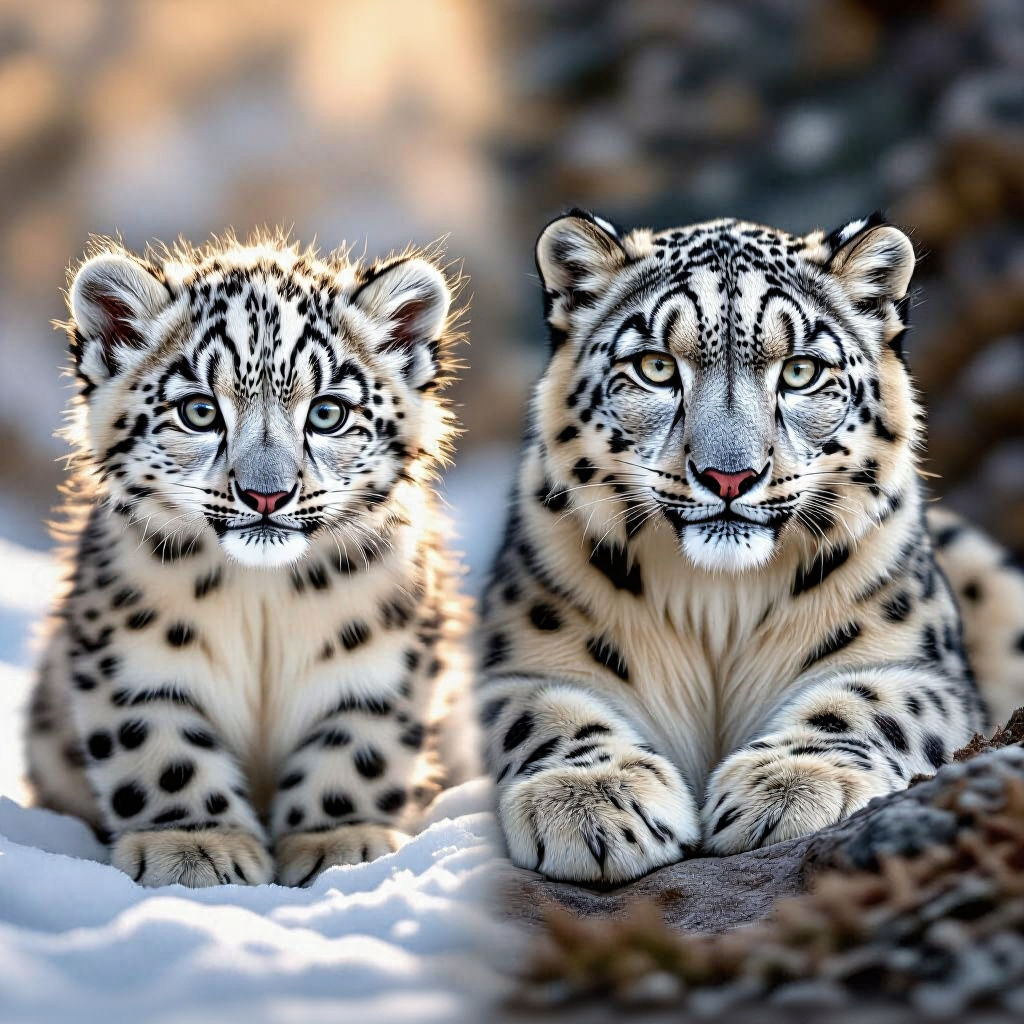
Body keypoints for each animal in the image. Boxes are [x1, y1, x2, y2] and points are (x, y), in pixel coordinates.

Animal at [25, 231, 476, 887]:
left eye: (328, 413)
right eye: (200, 411)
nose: (267, 494)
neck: (263, 600)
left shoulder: (383, 657)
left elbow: (359, 747)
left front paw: (340, 841)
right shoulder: (134, 654)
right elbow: (160, 748)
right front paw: (192, 847)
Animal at [476, 209, 1024, 885]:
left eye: (800, 371)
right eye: (657, 367)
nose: (729, 476)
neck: (718, 603)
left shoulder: (917, 663)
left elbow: (869, 702)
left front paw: (792, 784)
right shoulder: (521, 663)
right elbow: (543, 712)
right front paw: (589, 801)